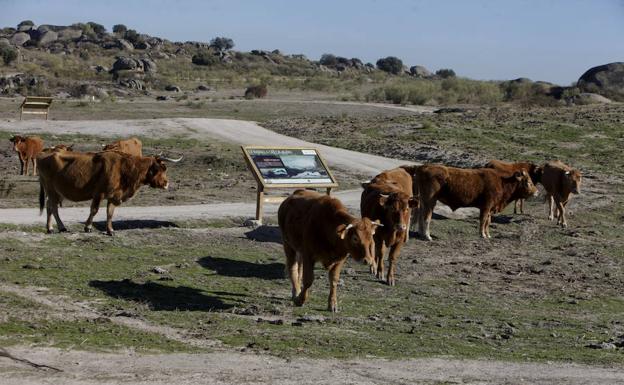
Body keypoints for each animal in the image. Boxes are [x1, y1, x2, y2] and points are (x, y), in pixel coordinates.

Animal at [37, 149, 180, 234]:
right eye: (161, 168)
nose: (166, 183)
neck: (124, 167)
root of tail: (42, 156)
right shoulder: (98, 194)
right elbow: (94, 210)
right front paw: (88, 227)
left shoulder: (114, 195)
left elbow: (110, 212)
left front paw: (110, 230)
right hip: (51, 189)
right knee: (52, 207)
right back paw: (56, 227)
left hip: (57, 192)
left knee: (50, 207)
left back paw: (53, 227)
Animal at [412, 164, 540, 238]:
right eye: (528, 182)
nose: (537, 192)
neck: (501, 182)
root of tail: (423, 167)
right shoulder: (486, 206)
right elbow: (483, 220)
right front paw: (482, 234)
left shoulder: (490, 208)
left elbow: (488, 221)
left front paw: (488, 234)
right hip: (430, 201)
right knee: (426, 217)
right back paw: (427, 236)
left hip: (423, 201)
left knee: (420, 215)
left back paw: (421, 233)